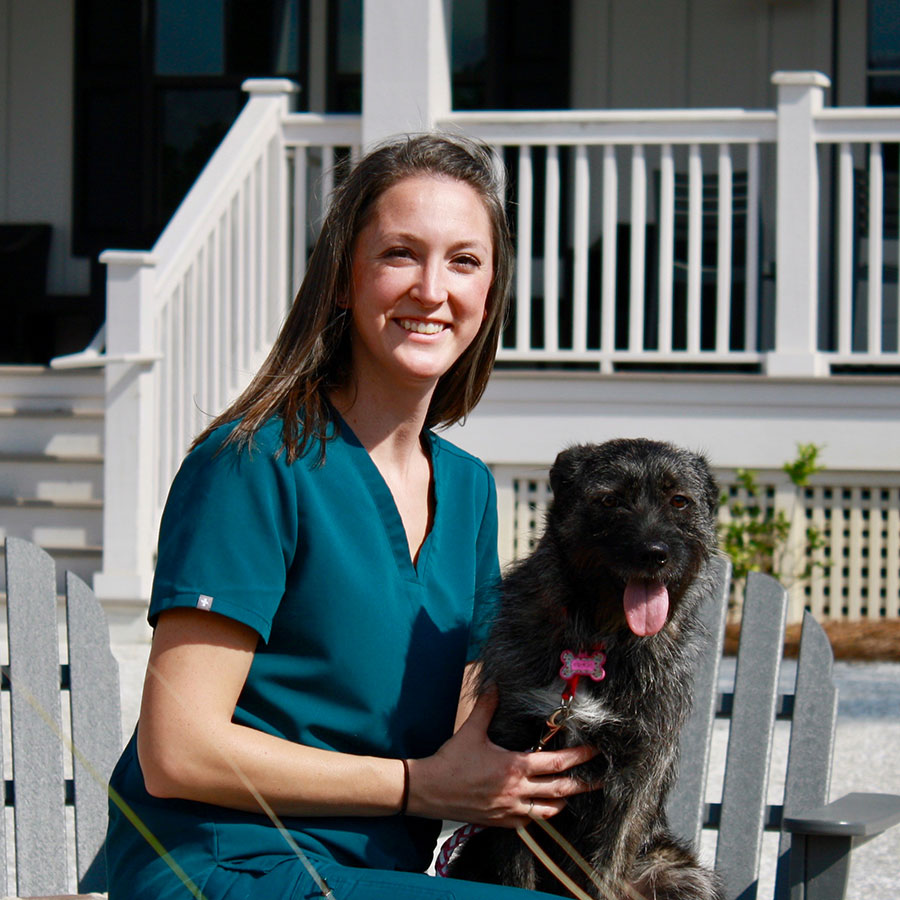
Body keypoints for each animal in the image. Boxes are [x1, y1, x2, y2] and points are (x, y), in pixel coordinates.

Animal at [450, 440, 724, 896]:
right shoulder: (515, 774)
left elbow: (604, 868)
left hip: (680, 874)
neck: (597, 644)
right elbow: (515, 872)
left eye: (679, 501)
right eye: (609, 501)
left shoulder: (635, 778)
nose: (654, 554)